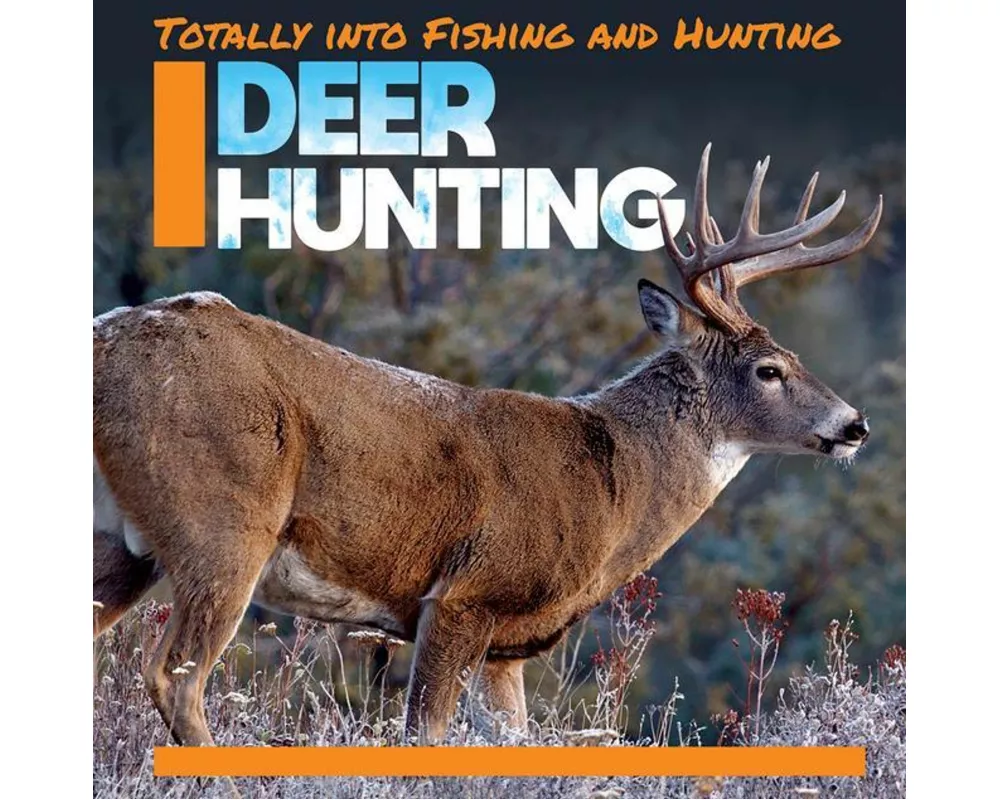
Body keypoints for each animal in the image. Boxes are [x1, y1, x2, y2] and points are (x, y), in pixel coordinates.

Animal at [93, 144, 882, 750]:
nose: (855, 425)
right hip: (224, 519)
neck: (614, 488)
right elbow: (425, 735)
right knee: (176, 676)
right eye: (769, 369)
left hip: (123, 540)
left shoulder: (507, 648)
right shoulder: (464, 594)